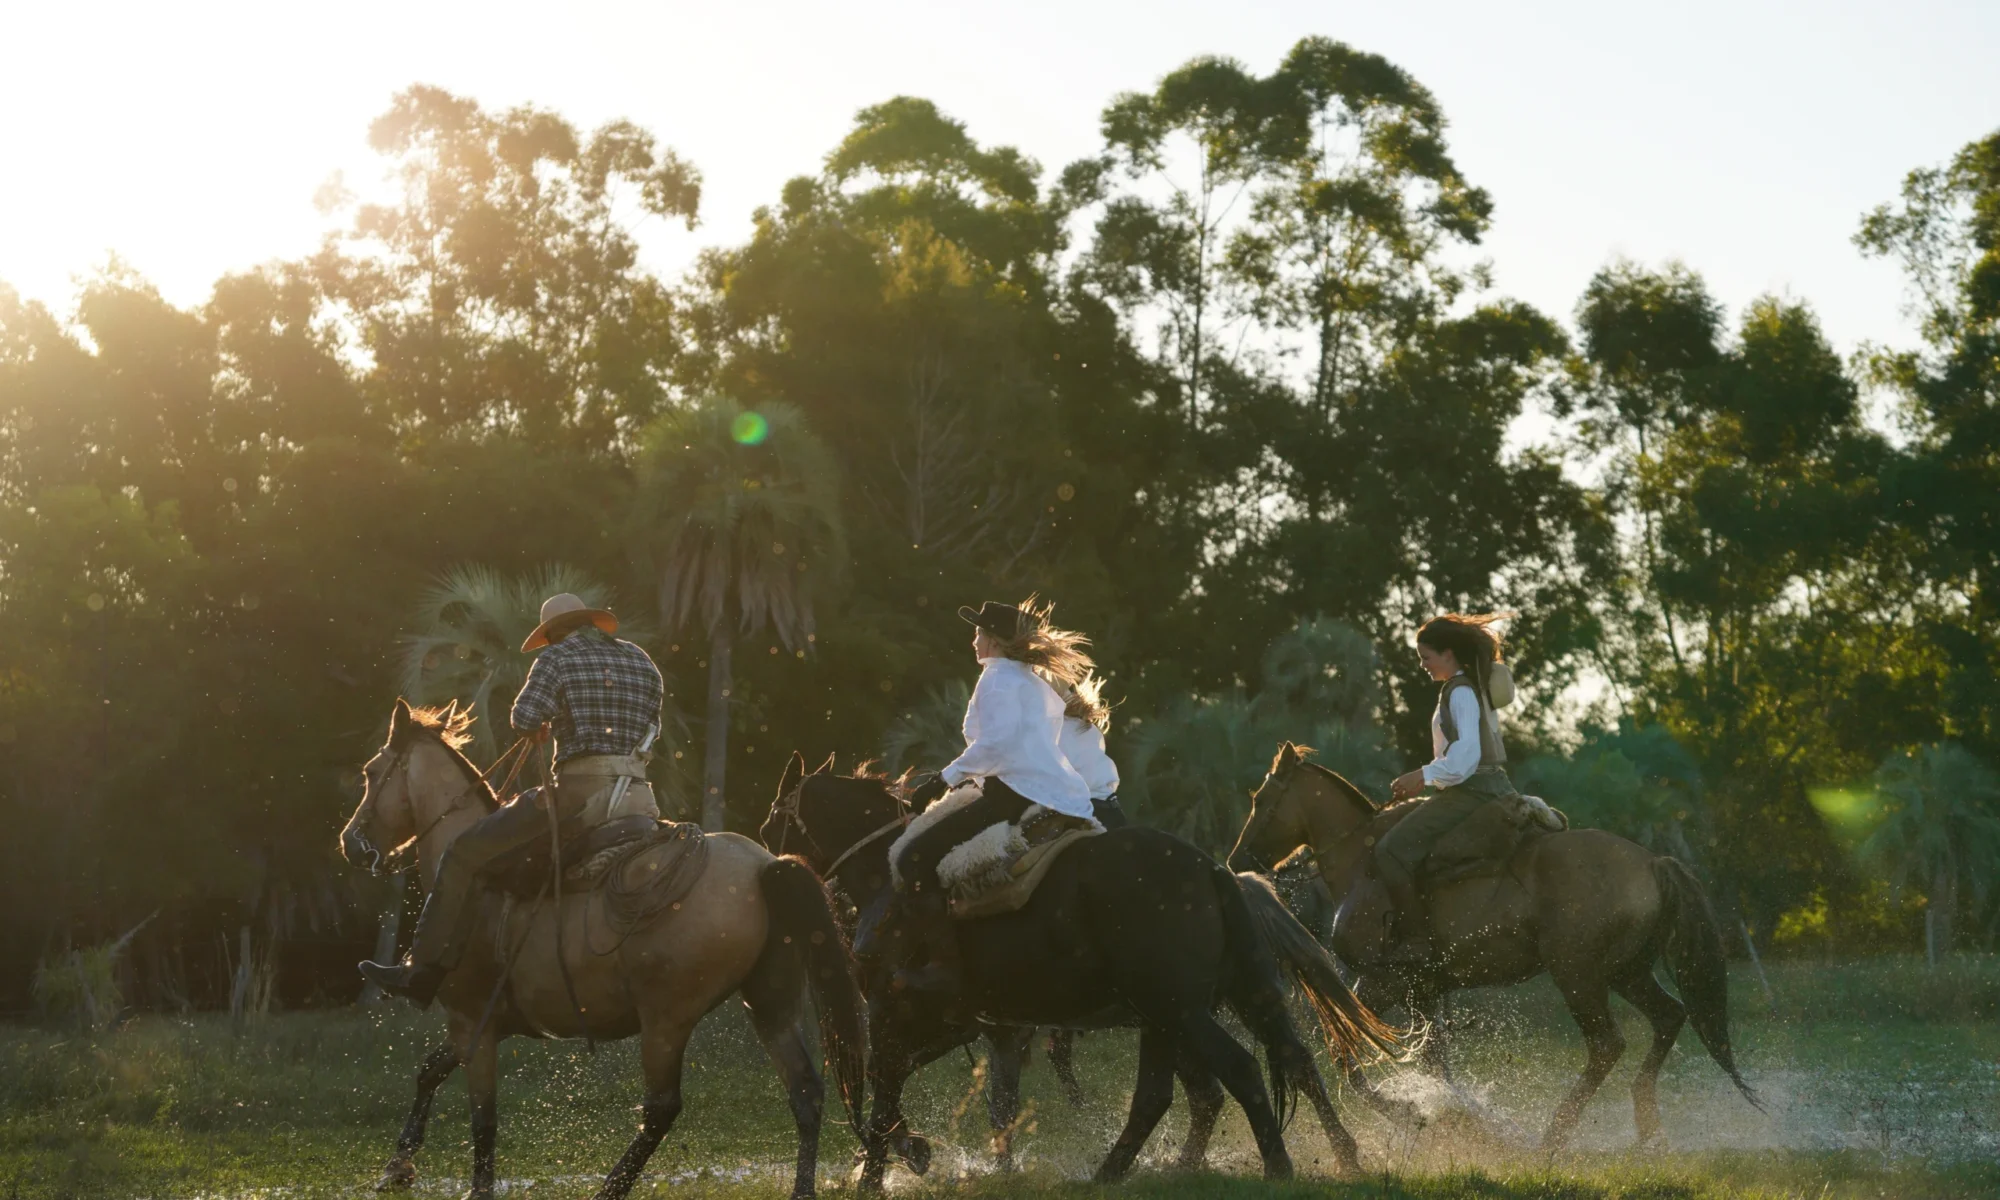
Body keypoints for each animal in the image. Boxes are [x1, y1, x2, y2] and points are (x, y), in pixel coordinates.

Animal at [336, 701, 866, 1200]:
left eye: (371, 771)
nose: (352, 844)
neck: (479, 895)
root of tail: (765, 866)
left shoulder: (473, 1023)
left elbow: (482, 1115)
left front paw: (475, 1187)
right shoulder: (481, 1022)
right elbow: (430, 1071)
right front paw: (397, 1167)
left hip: (667, 1019)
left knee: (661, 1108)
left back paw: (610, 1188)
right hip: (770, 1003)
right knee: (805, 1090)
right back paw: (802, 1188)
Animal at [760, 754, 1399, 1189]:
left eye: (773, 818)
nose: (769, 855)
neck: (884, 881)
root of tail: (1214, 870)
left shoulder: (913, 1014)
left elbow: (886, 1085)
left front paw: (889, 1164)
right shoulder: (979, 1025)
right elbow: (969, 1097)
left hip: (1179, 1011)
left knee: (1236, 1072)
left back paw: (1276, 1166)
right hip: (1182, 1012)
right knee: (1214, 1082)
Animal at [1225, 742, 1758, 1149]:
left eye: (1261, 798)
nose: (1235, 862)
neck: (1363, 864)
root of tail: (1652, 862)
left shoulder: (1384, 981)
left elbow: (1349, 1059)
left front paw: (1410, 1114)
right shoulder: (1423, 990)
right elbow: (1435, 1062)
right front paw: (1460, 1121)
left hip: (1578, 975)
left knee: (1607, 1044)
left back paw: (1553, 1137)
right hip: (1626, 972)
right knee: (1669, 1017)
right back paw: (1646, 1125)